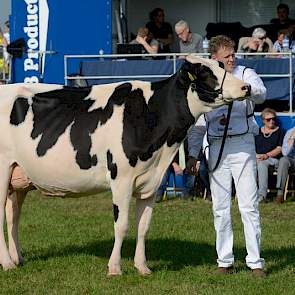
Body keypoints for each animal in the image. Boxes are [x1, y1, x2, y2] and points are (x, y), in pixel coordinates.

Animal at [0, 55, 250, 276]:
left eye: (221, 66)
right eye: (206, 74)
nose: (246, 87)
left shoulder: (152, 180)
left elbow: (143, 226)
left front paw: (142, 267)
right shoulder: (122, 179)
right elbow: (121, 226)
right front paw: (114, 268)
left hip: (18, 176)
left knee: (13, 216)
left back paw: (18, 258)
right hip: (2, 171)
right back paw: (8, 264)